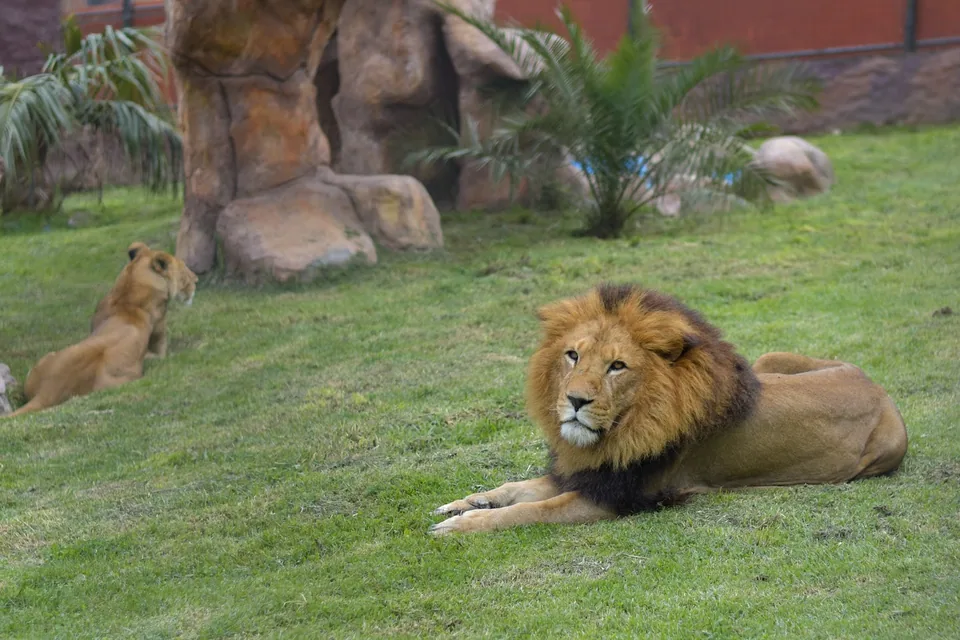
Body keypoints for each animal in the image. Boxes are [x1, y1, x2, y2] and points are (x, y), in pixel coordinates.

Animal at [7, 242, 197, 417]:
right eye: (185, 269)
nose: (196, 280)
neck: (129, 292)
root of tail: (48, 391)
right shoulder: (158, 345)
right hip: (128, 378)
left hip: (44, 359)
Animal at [430, 284, 908, 535]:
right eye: (572, 356)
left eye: (617, 366)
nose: (575, 400)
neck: (622, 429)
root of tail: (878, 389)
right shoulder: (588, 472)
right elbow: (515, 488)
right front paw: (464, 504)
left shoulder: (618, 498)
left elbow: (532, 509)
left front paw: (462, 526)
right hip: (769, 359)